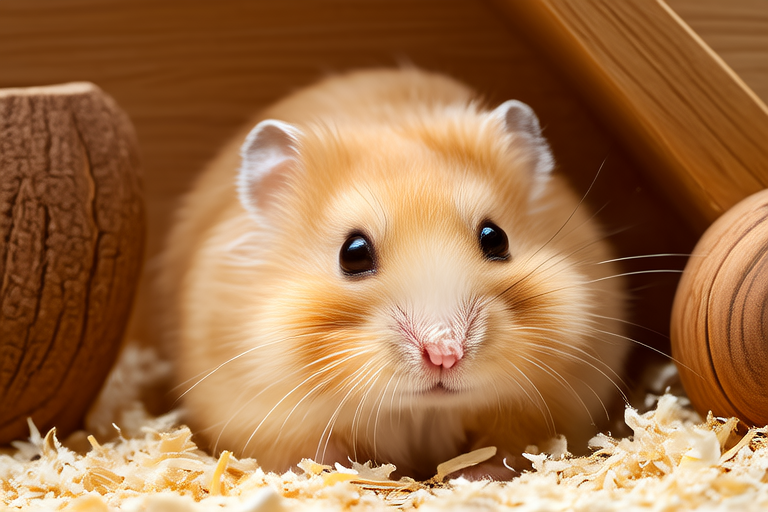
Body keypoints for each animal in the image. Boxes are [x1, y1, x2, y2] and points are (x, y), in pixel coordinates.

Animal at [156, 68, 627, 480]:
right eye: (353, 253)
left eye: (496, 239)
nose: (445, 353)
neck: (419, 412)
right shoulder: (269, 417)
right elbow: (316, 457)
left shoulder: (545, 406)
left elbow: (509, 450)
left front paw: (472, 477)